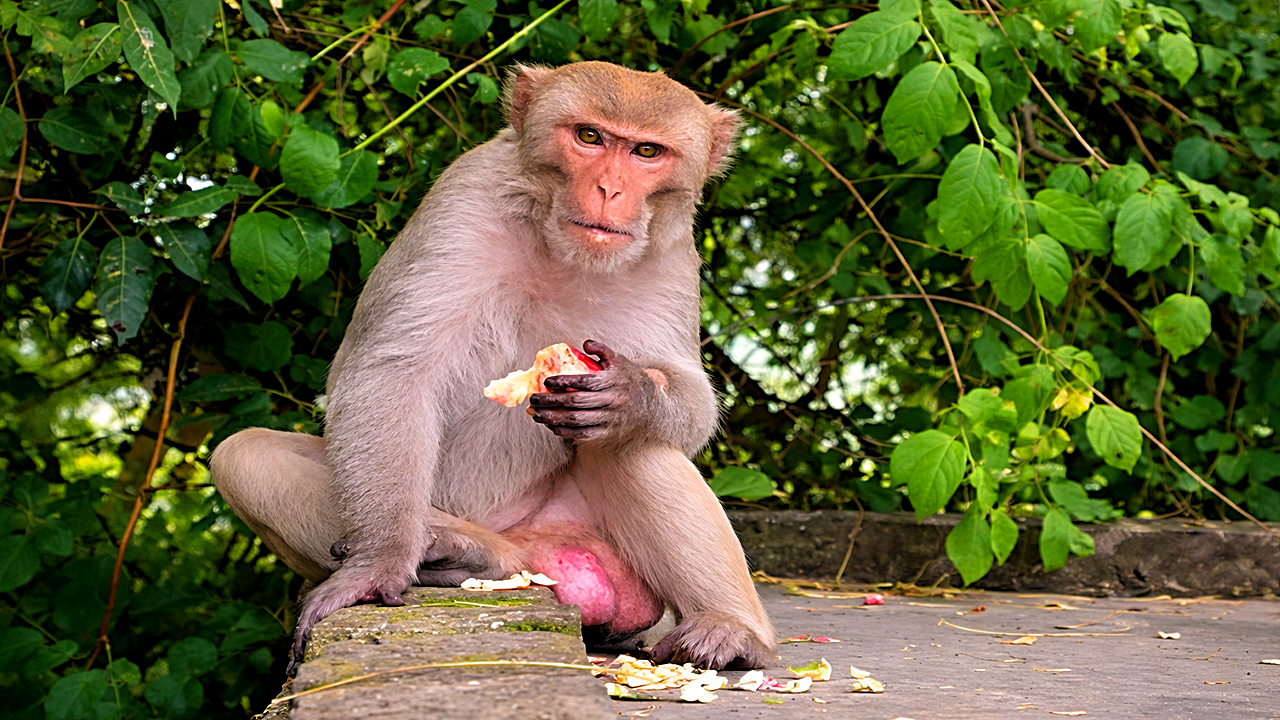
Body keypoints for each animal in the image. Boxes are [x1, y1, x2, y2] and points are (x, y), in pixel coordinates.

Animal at [210, 62, 775, 676]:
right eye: (590, 137)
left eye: (646, 150)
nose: (609, 189)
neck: (560, 247)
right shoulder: (463, 202)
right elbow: (393, 372)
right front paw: (377, 563)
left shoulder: (672, 252)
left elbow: (689, 399)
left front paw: (631, 396)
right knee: (244, 455)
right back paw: (470, 555)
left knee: (627, 446)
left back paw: (728, 629)